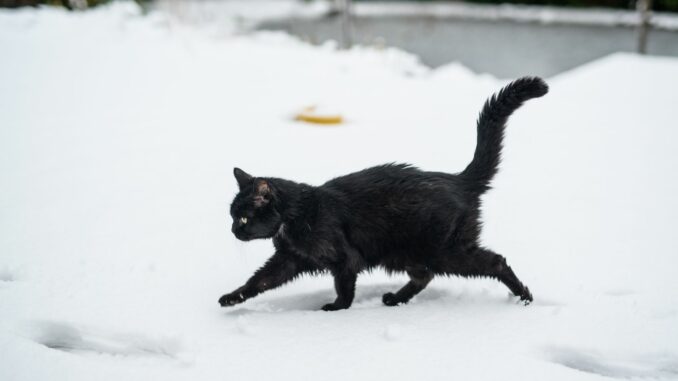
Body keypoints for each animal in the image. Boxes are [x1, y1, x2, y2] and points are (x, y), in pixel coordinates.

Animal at [220, 75, 548, 310]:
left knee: (495, 261)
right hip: (407, 252)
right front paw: (231, 298)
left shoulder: (344, 257)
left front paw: (337, 309)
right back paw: (395, 299)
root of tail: (459, 179)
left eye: (244, 218)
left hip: (444, 250)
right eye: (232, 217)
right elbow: (260, 281)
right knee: (424, 275)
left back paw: (524, 297)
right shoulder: (289, 259)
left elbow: (344, 285)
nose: (233, 231)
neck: (296, 215)